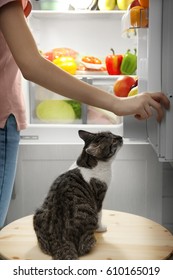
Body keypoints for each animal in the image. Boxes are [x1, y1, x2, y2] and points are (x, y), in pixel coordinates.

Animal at [33, 130, 123, 260]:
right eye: (113, 140)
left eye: (112, 133)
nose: (120, 137)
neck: (89, 164)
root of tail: (61, 240)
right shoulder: (99, 197)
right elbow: (100, 214)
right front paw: (101, 228)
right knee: (84, 247)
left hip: (38, 212)